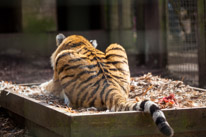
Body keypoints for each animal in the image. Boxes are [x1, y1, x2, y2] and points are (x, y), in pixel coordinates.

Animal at [40, 33, 174, 136]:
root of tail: (109, 88)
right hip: (116, 46)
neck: (79, 41)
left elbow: (46, 86)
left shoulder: (55, 80)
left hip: (63, 58)